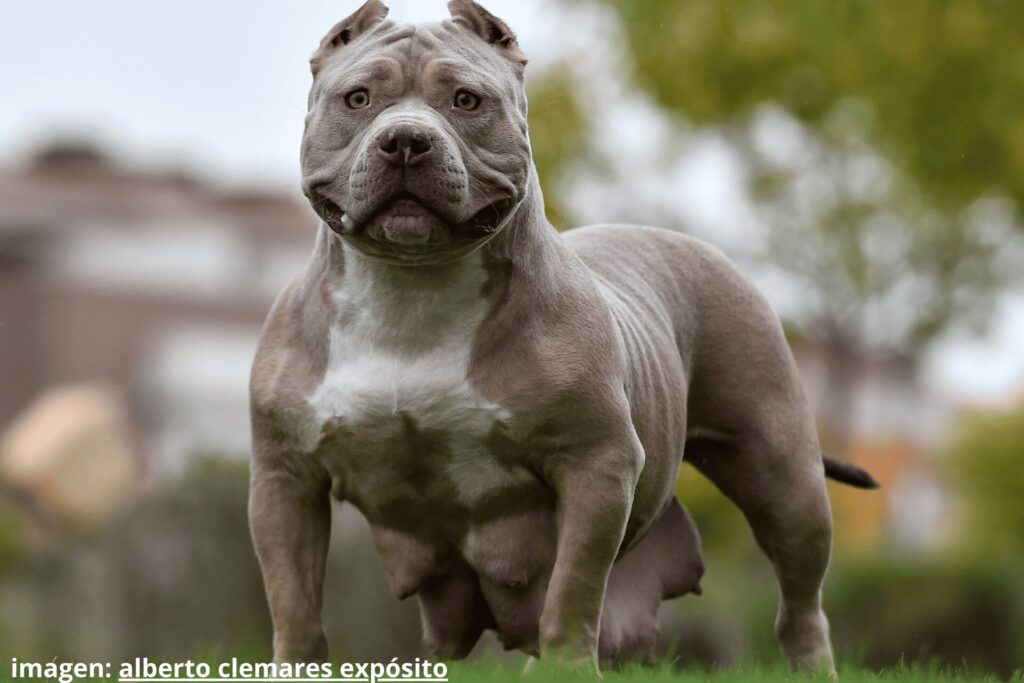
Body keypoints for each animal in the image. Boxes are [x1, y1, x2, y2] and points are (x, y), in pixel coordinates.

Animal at [249, 0, 880, 671]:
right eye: (358, 98)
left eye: (467, 100)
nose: (406, 140)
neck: (410, 292)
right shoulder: (285, 479)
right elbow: (293, 601)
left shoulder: (594, 464)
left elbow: (572, 590)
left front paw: (570, 666)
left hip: (783, 476)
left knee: (799, 597)